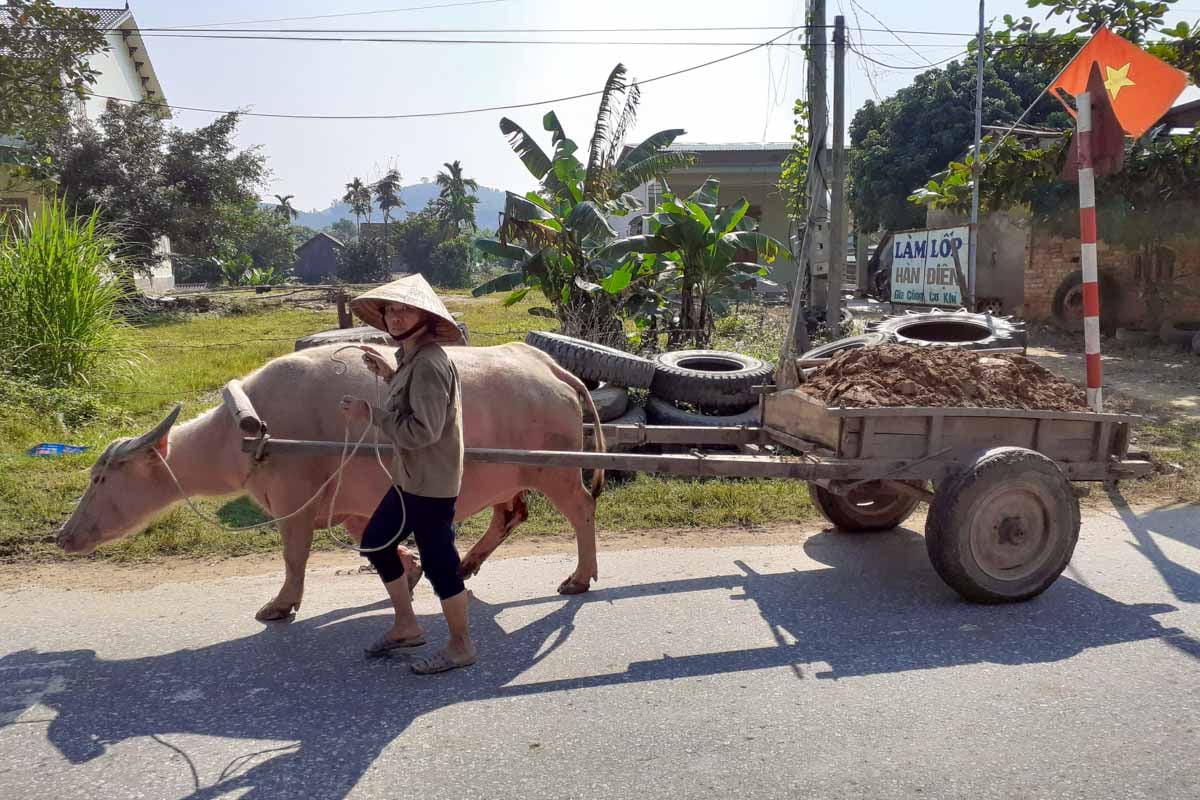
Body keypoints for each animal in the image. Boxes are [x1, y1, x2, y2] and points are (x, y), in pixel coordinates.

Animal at [55, 345, 600, 618]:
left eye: (100, 478)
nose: (62, 536)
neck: (250, 431)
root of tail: (549, 365)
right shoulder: (359, 506)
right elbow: (377, 547)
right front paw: (411, 570)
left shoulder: (293, 504)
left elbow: (294, 557)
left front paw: (280, 604)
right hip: (513, 475)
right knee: (510, 513)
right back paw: (466, 564)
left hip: (556, 469)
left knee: (581, 509)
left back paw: (579, 576)